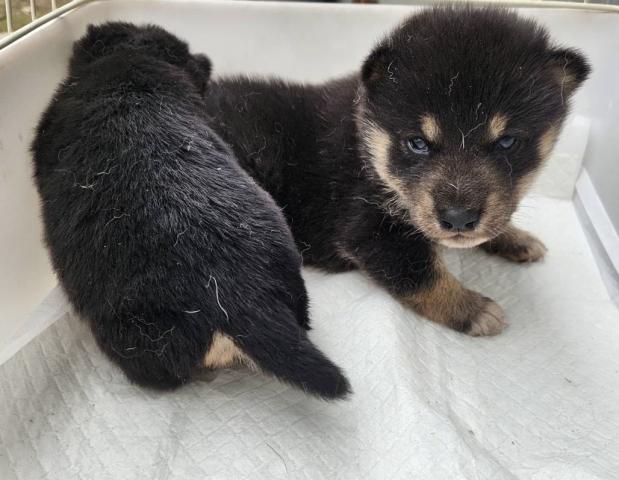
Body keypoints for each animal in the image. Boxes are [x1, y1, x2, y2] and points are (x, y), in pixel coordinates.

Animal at [203, 6, 590, 336]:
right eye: (417, 143)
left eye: (507, 141)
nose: (459, 219)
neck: (365, 140)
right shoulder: (367, 229)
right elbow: (421, 273)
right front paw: (471, 308)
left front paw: (515, 237)